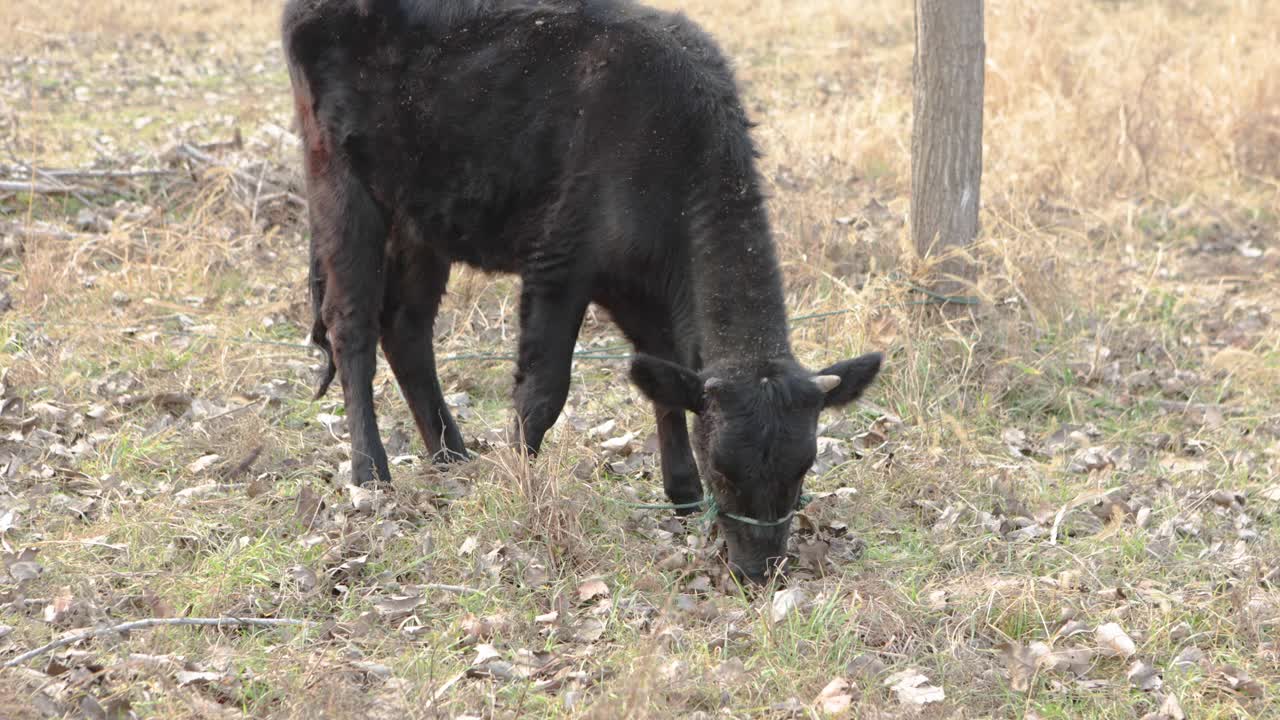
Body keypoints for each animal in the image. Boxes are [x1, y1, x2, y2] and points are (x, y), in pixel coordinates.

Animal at [282, 0, 880, 576]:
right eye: (724, 467)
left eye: (802, 469)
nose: (761, 569)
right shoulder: (559, 263)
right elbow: (543, 393)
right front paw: (520, 485)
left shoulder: (646, 292)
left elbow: (662, 381)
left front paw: (682, 495)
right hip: (340, 185)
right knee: (352, 326)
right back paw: (371, 472)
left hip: (420, 220)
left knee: (406, 329)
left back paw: (452, 455)